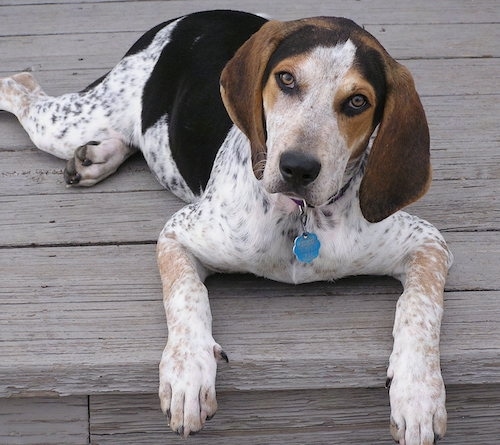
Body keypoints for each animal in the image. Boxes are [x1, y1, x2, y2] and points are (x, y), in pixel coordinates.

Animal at [0, 8, 454, 442]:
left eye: (358, 102)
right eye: (286, 79)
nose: (297, 168)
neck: (300, 217)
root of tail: (188, 16)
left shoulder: (428, 243)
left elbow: (419, 307)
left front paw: (418, 394)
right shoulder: (178, 233)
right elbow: (188, 295)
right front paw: (188, 374)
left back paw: (96, 158)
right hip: (71, 122)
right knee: (18, 83)